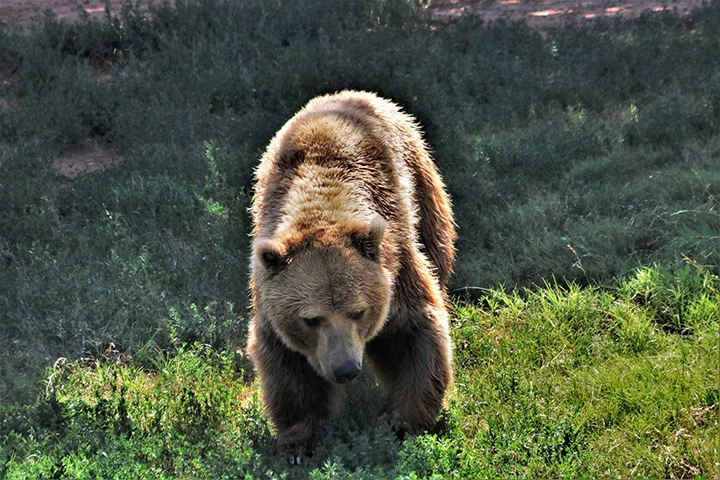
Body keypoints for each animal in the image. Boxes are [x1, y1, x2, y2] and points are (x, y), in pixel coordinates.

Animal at [245, 91, 452, 446]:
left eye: (358, 311)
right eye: (311, 319)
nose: (346, 369)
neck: (322, 205)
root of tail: (349, 94)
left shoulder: (397, 264)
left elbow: (414, 332)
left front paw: (403, 421)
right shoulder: (268, 289)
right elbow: (288, 366)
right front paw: (301, 437)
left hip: (420, 182)